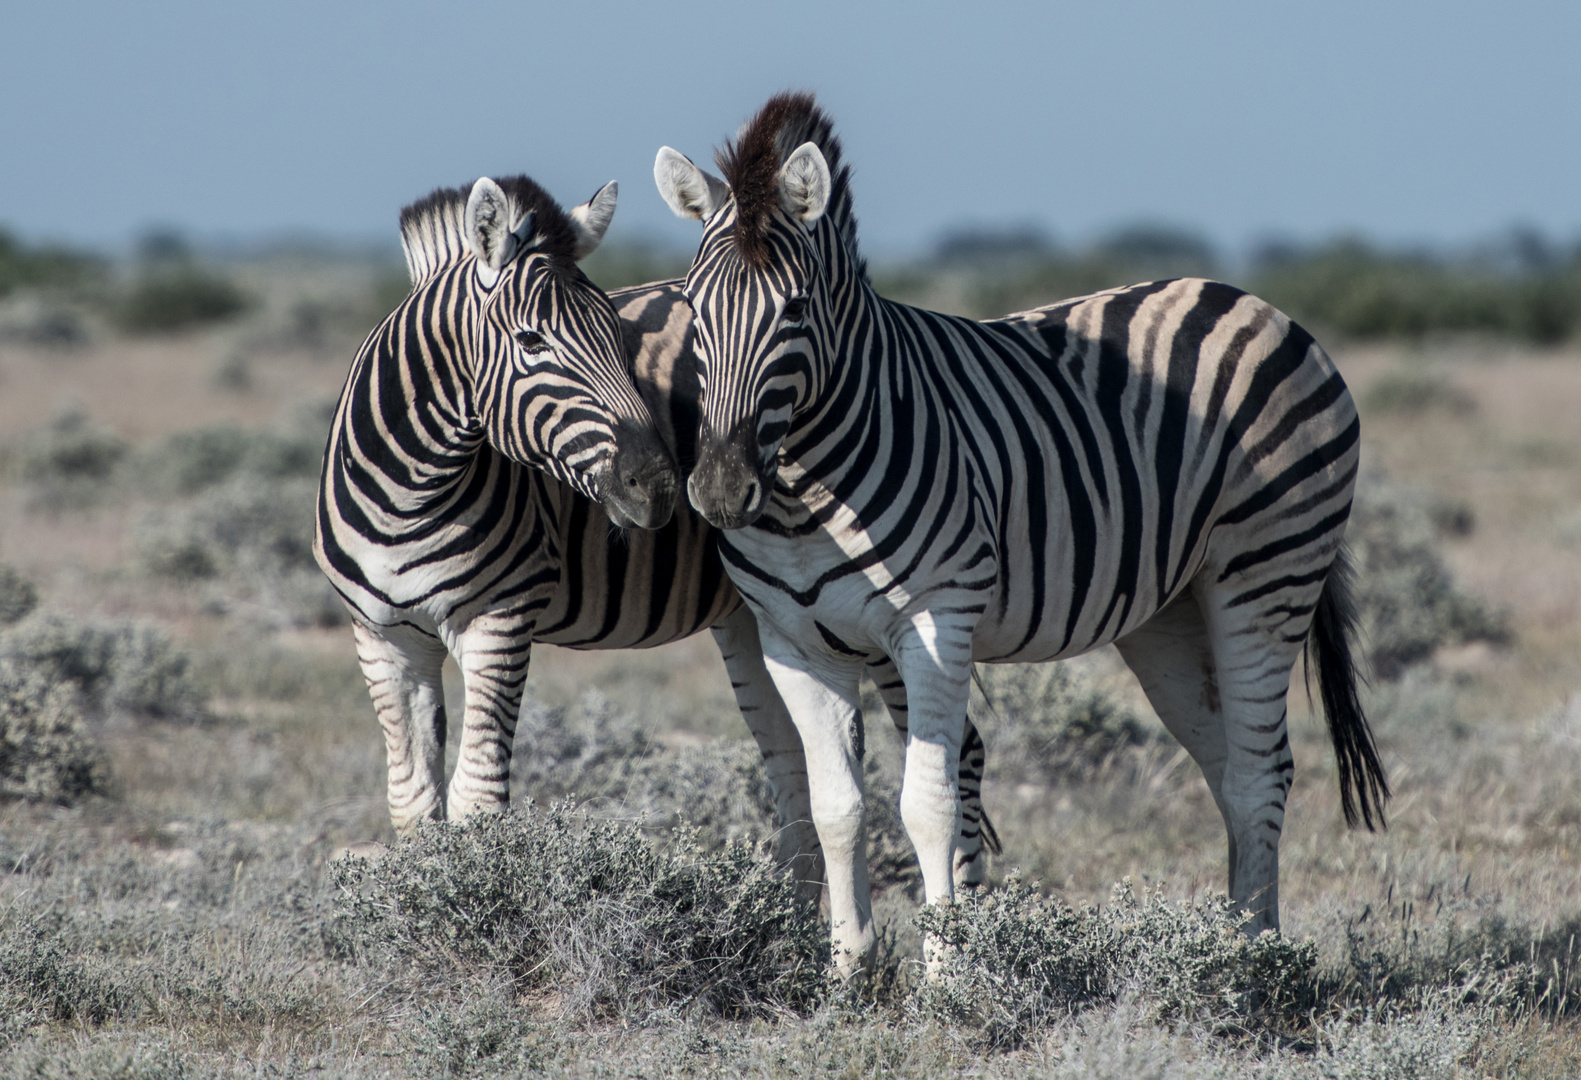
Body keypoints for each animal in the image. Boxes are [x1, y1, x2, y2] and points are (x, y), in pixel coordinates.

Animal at [314, 173, 999, 897]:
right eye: (530, 342)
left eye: (622, 340)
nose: (661, 487)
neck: (411, 494)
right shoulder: (383, 638)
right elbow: (413, 805)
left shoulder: (498, 622)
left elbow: (476, 801)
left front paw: (477, 905)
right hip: (757, 617)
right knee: (791, 766)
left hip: (877, 621)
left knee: (961, 751)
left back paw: (970, 914)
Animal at [655, 92, 1388, 976]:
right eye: (691, 309)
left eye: (793, 310)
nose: (721, 490)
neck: (805, 492)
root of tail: (1249, 300)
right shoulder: (791, 641)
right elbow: (837, 806)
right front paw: (848, 971)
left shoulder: (934, 623)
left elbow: (928, 803)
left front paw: (943, 979)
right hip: (1169, 614)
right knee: (1225, 763)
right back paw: (1237, 943)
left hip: (1264, 575)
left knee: (1258, 771)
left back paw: (1250, 965)